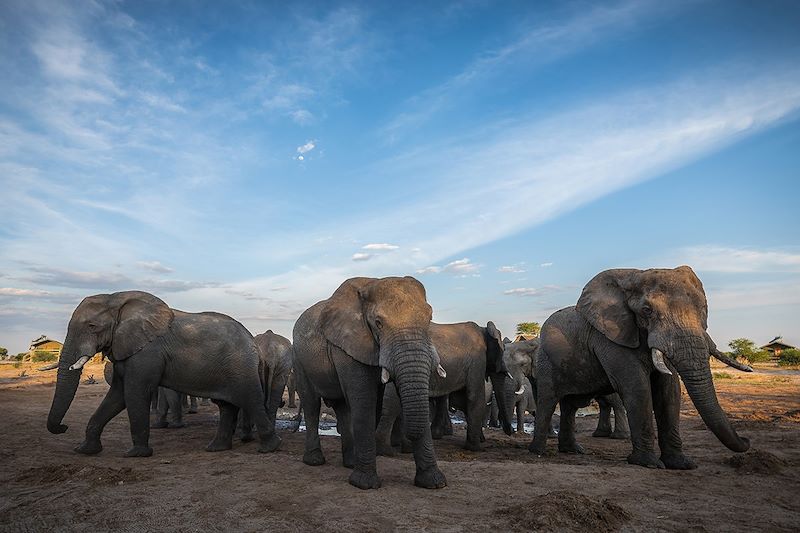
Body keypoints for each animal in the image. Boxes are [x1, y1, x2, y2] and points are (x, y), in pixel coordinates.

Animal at [47, 288, 280, 456]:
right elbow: (117, 395)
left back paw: (269, 448)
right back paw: (216, 448)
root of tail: (253, 342)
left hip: (241, 366)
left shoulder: (147, 352)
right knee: (226, 406)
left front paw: (136, 454)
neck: (116, 298)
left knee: (251, 400)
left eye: (92, 326)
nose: (64, 427)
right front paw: (84, 450)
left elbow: (134, 392)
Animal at [294, 276, 446, 488]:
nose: (404, 445)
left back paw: (350, 463)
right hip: (299, 360)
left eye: (430, 319)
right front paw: (364, 484)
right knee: (311, 405)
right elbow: (365, 402)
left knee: (342, 408)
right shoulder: (348, 345)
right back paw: (315, 461)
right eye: (378, 323)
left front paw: (434, 483)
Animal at [378, 320, 516, 454]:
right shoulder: (477, 360)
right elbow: (474, 398)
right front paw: (475, 448)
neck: (484, 329)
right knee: (392, 405)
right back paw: (387, 451)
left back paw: (405, 448)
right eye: (503, 350)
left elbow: (463, 400)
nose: (511, 431)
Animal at [532, 268, 752, 468]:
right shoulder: (609, 337)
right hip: (546, 361)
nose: (747, 440)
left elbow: (669, 389)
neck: (633, 275)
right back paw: (538, 452)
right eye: (647, 310)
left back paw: (572, 451)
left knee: (570, 405)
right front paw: (648, 463)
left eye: (704, 308)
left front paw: (681, 464)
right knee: (548, 401)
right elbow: (637, 387)